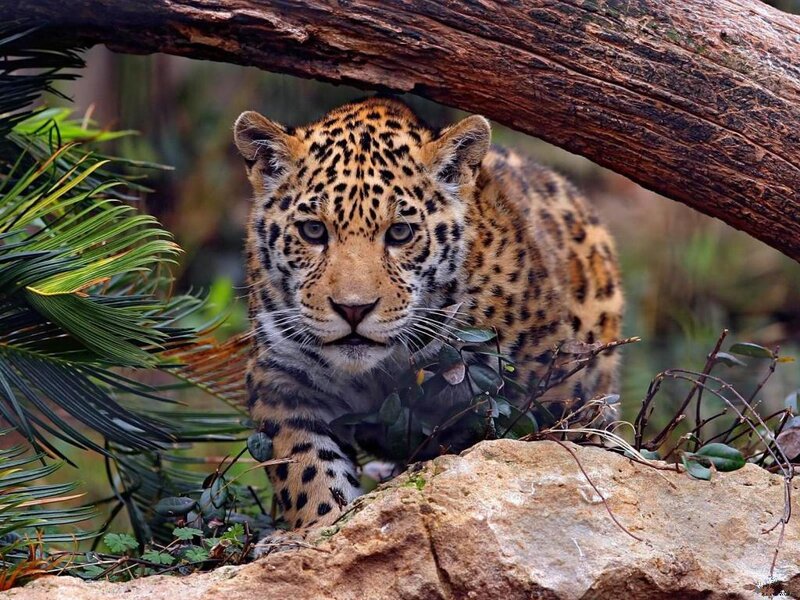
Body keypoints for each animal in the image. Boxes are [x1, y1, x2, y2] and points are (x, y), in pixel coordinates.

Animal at [233, 97, 623, 534]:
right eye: (313, 231)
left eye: (400, 233)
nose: (353, 308)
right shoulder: (282, 378)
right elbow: (305, 467)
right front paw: (321, 524)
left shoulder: (544, 391)